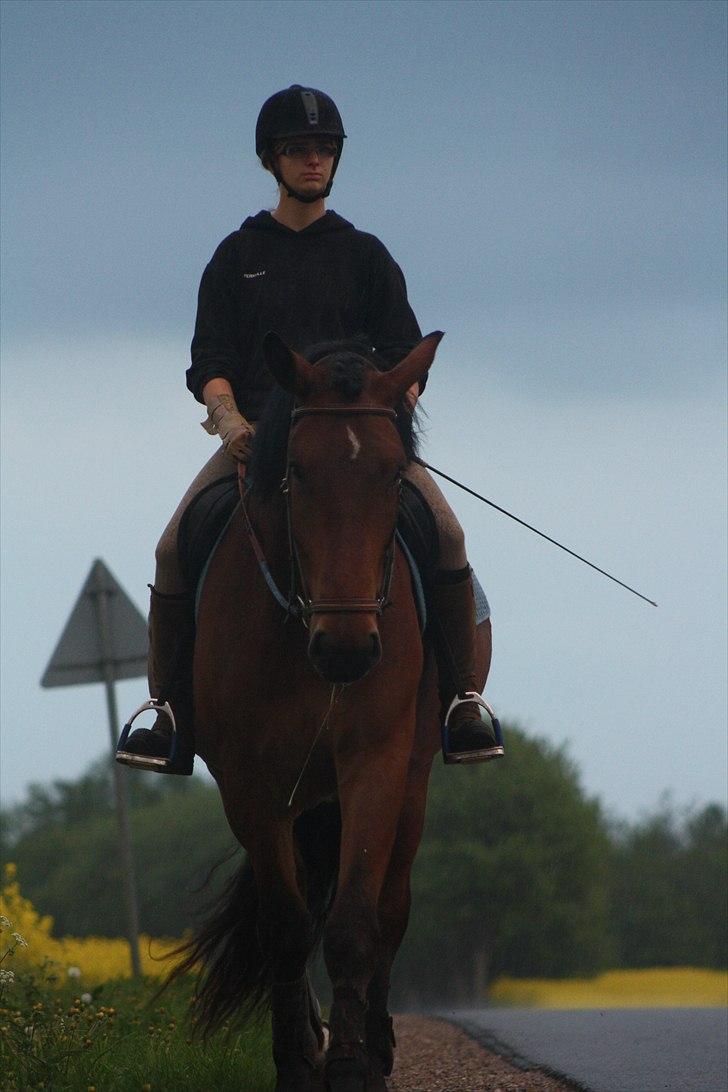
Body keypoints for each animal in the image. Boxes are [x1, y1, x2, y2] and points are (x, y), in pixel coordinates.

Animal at [169, 331, 493, 1092]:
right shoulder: (250, 785)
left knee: (392, 910)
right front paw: (297, 1060)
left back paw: (376, 1044)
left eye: (393, 474)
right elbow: (287, 926)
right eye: (298, 472)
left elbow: (353, 922)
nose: (348, 649)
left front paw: (351, 1065)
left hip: (410, 781)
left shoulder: (373, 764)